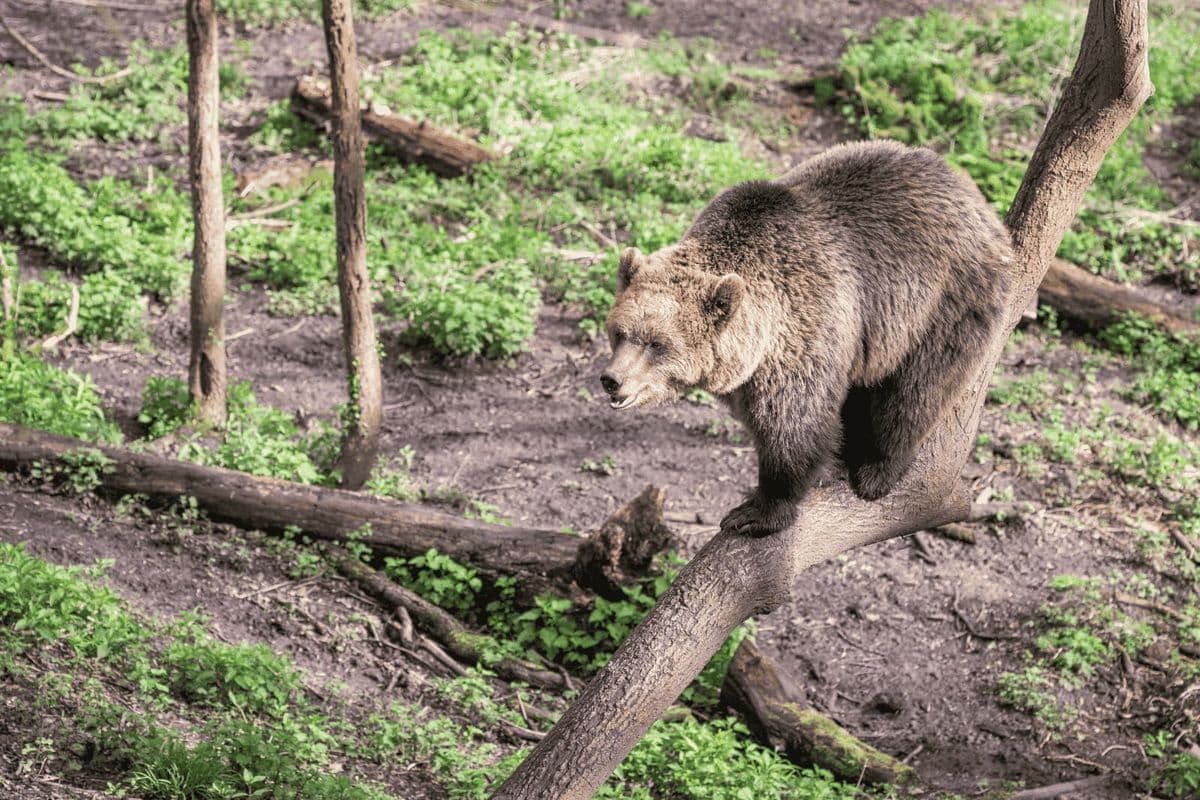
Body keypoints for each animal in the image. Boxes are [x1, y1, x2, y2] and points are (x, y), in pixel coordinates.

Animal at [600, 140, 1012, 537]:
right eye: (619, 333)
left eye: (657, 344)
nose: (612, 380)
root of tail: (973, 194)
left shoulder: (805, 327)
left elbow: (795, 426)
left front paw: (756, 511)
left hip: (944, 301)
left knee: (916, 388)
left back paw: (878, 468)